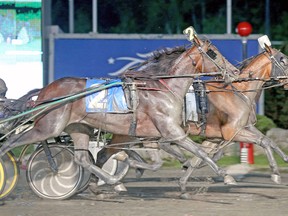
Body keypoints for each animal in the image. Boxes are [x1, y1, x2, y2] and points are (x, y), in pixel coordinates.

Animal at [0, 31, 240, 188]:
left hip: (79, 128)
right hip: (48, 128)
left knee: (82, 159)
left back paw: (112, 180)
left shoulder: (152, 135)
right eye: (213, 53)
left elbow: (159, 161)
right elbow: (199, 152)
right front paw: (225, 174)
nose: (235, 72)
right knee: (10, 143)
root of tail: (44, 91)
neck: (161, 87)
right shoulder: (172, 131)